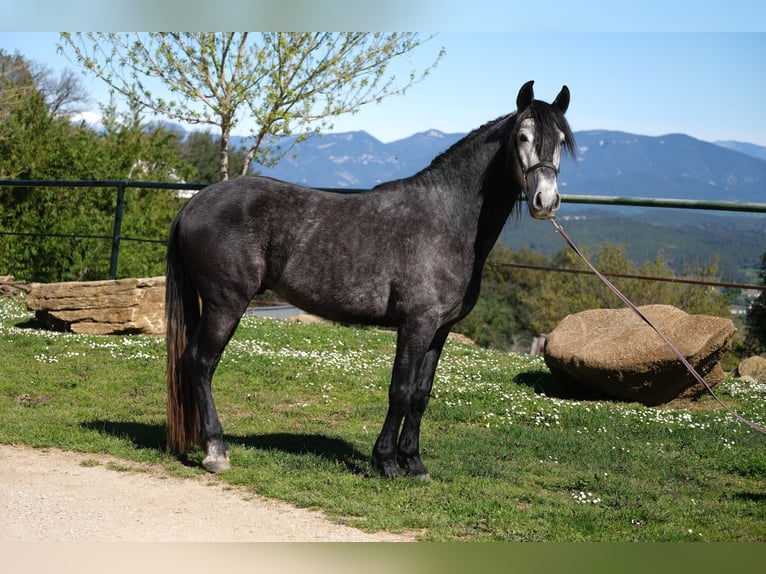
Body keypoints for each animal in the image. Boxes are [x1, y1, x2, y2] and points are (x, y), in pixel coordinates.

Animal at [165, 80, 575, 479]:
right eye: (522, 136)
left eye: (561, 140)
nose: (546, 201)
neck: (447, 220)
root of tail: (193, 203)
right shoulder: (416, 324)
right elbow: (401, 390)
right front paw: (387, 462)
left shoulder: (439, 330)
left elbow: (421, 395)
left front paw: (414, 463)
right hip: (226, 304)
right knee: (200, 363)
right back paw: (216, 451)